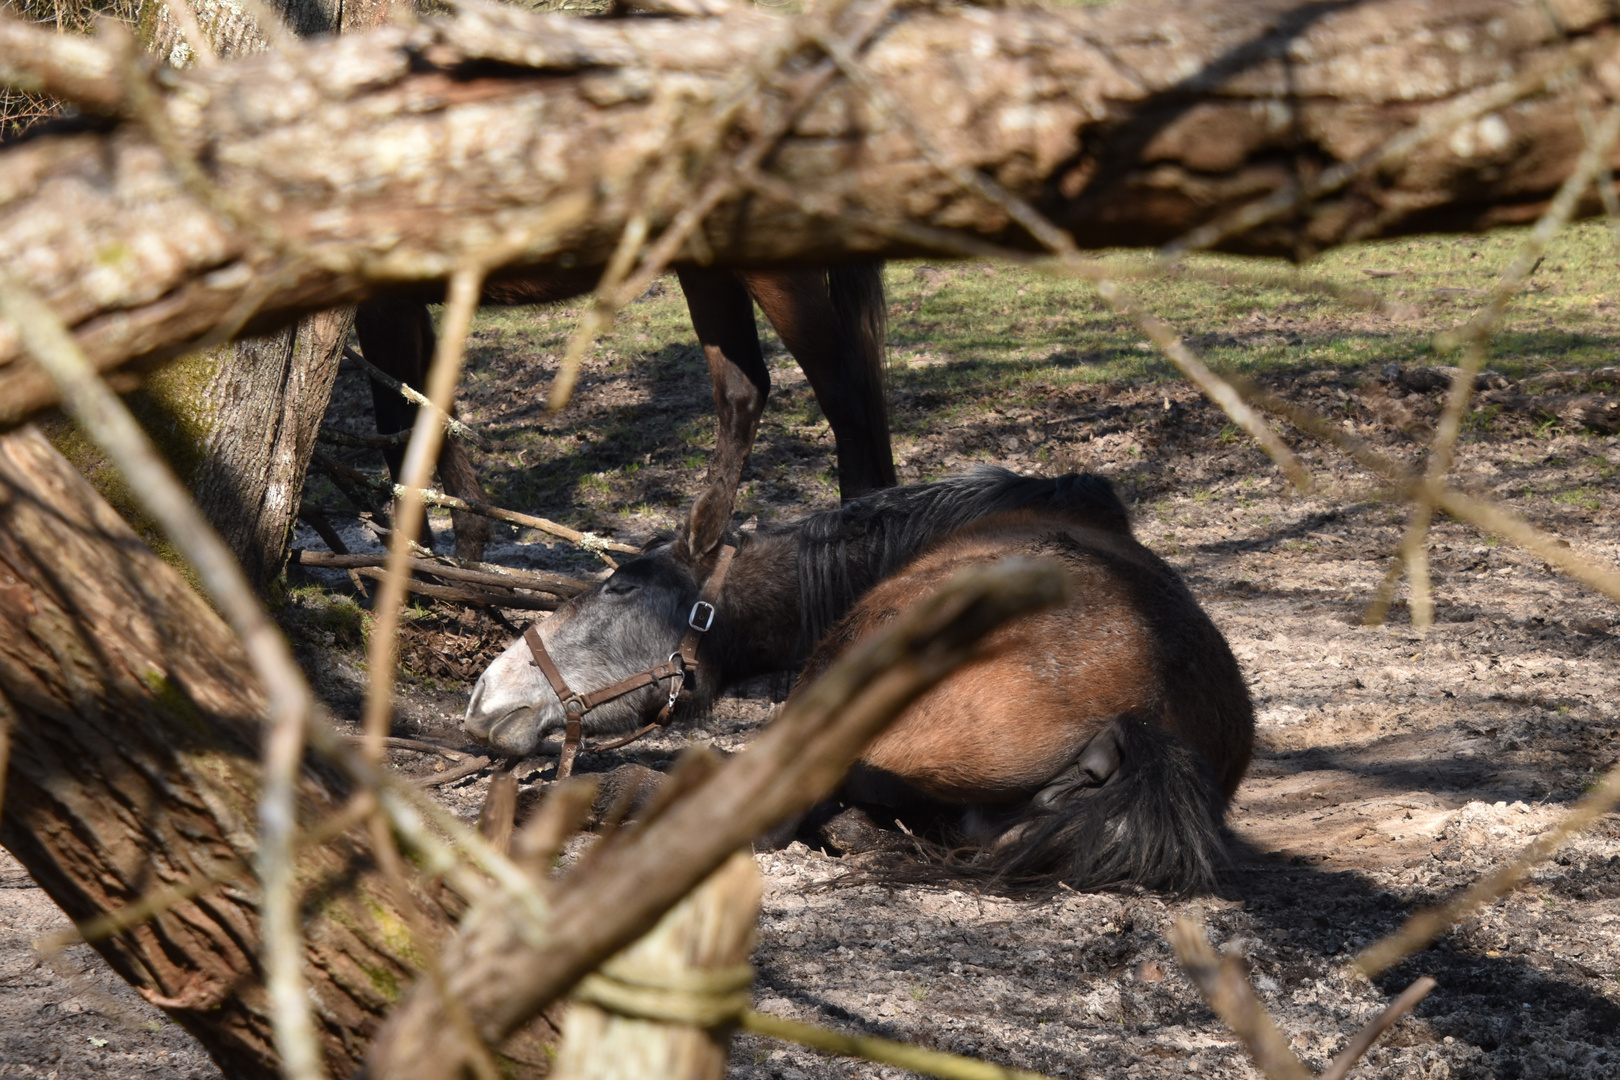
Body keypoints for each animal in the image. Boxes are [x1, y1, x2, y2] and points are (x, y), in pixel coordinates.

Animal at [351, 265, 900, 563]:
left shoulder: (384, 300)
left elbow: (398, 424)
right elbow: (432, 415)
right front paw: (465, 552)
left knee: (847, 393)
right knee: (745, 392)